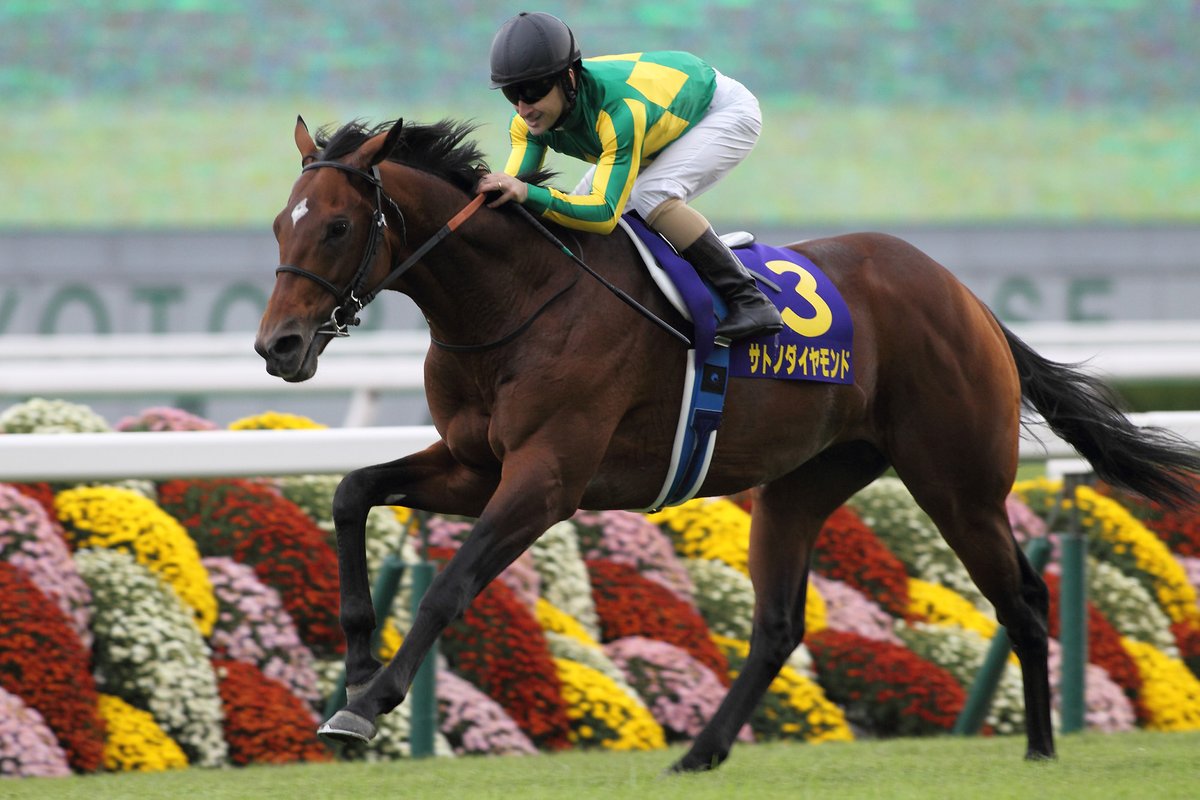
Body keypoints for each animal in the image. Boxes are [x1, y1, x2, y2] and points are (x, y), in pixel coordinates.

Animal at [255, 116, 1200, 771]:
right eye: (277, 225)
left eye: (337, 227)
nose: (279, 347)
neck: (515, 301)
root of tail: (967, 298)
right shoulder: (473, 464)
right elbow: (351, 493)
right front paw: (355, 659)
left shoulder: (548, 478)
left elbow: (451, 586)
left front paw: (369, 700)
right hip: (801, 485)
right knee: (779, 625)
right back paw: (701, 751)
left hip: (958, 483)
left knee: (1023, 602)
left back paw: (1040, 747)